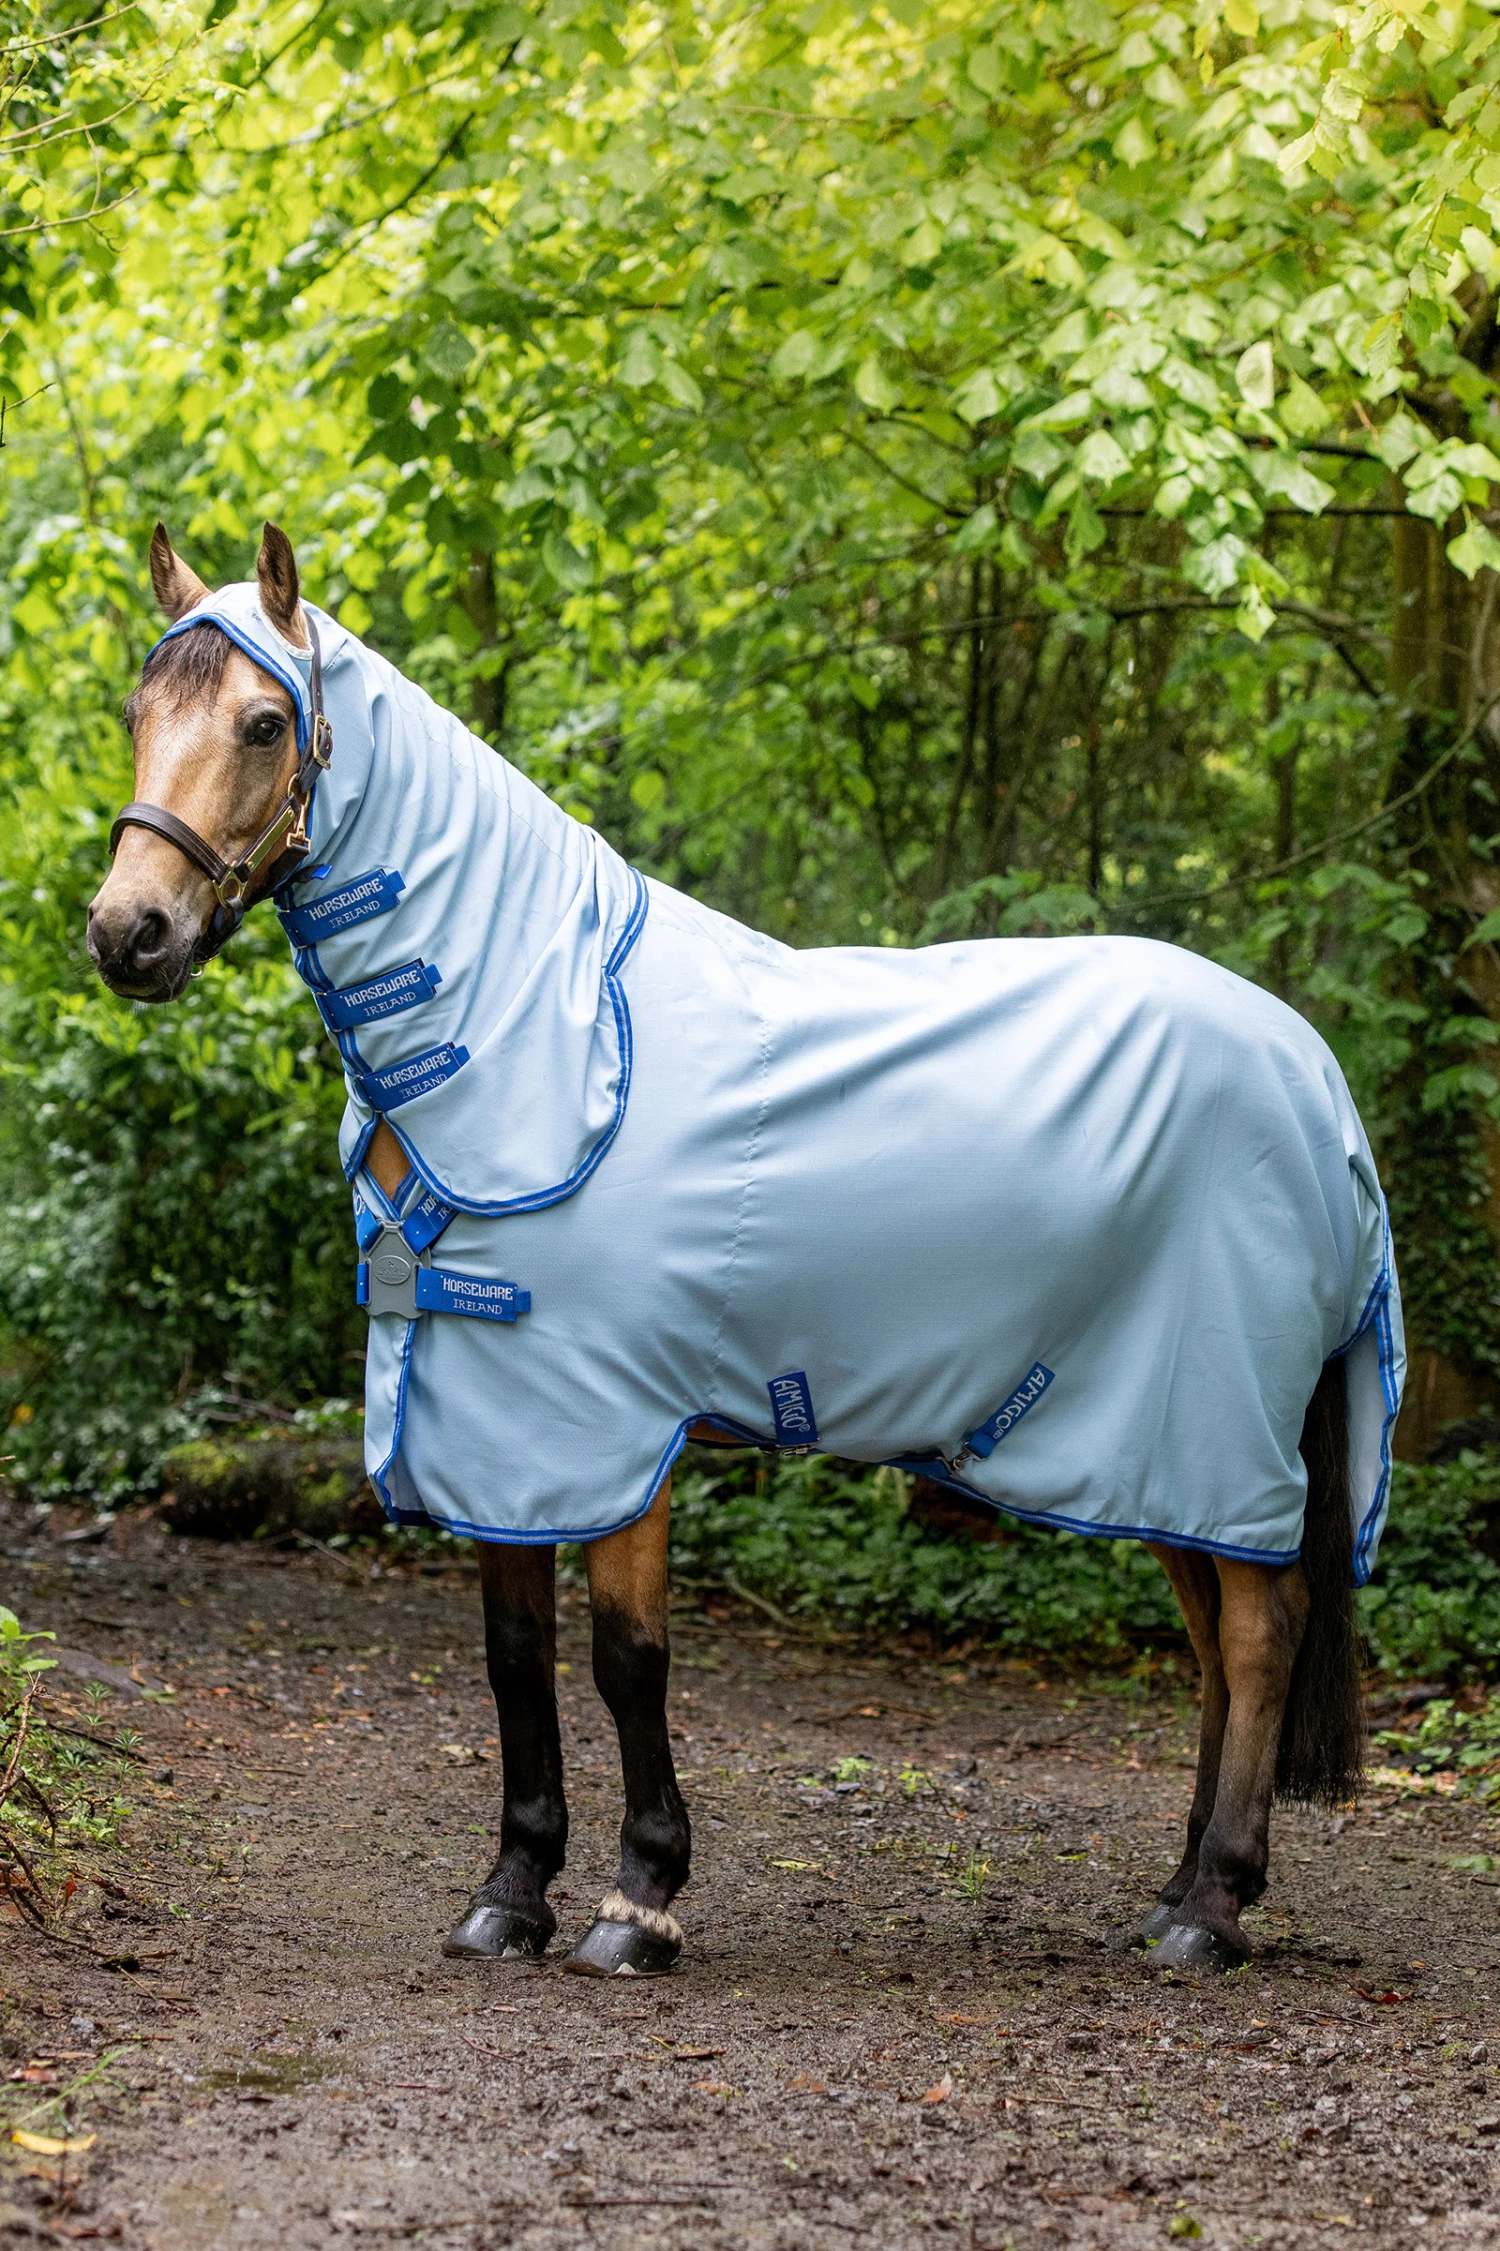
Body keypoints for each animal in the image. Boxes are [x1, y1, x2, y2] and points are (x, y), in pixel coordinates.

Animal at [86, 522, 1404, 1979]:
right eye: (138, 714)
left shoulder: (611, 1424)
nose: (128, 932)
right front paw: (510, 1892)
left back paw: (1211, 1911)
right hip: (1155, 1453)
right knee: (1216, 1645)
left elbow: (626, 1658)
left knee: (1262, 1632)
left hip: (1216, 1429)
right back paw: (1182, 1888)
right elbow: (510, 1653)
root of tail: (1315, 1076)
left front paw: (638, 1901)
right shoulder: (497, 1424)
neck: (540, 1035)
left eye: (265, 723)